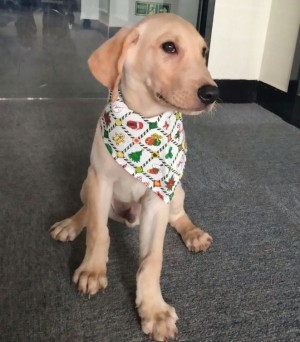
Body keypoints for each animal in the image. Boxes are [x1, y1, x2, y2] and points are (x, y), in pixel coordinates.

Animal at [49, 13, 218, 342]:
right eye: (169, 47)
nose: (212, 94)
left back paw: (193, 233)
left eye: (204, 52)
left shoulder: (158, 197)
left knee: (178, 215)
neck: (144, 120)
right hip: (87, 181)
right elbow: (98, 232)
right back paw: (71, 223)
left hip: (176, 191)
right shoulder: (101, 181)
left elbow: (152, 259)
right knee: (89, 211)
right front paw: (92, 270)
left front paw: (154, 309)